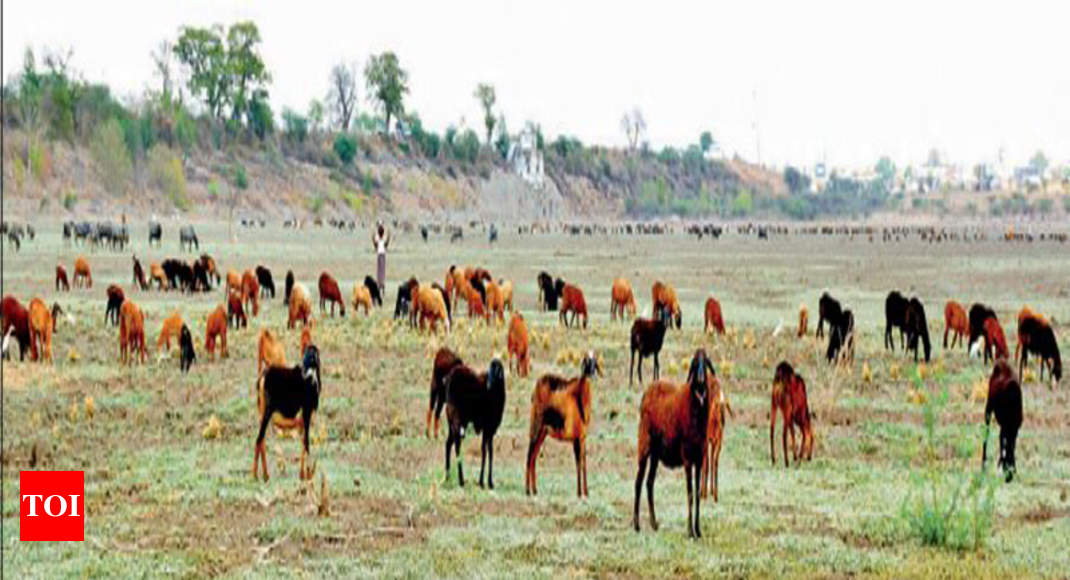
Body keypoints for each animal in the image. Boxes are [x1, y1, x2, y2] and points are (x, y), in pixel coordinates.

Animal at [253, 346, 321, 481]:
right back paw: (255, 476)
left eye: (312, 355)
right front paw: (307, 475)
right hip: (268, 412)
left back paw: (265, 475)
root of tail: (264, 376)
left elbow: (302, 442)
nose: (305, 372)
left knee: (261, 439)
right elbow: (306, 443)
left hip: (261, 414)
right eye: (306, 354)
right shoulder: (306, 414)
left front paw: (302, 474)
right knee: (259, 438)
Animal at [526, 353, 603, 498]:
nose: (592, 374)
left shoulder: (583, 439)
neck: (579, 397)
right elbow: (578, 463)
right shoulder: (576, 440)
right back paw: (527, 490)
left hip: (543, 433)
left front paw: (586, 492)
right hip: (536, 429)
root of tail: (536, 388)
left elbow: (584, 463)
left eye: (594, 362)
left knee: (534, 456)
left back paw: (534, 490)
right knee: (529, 455)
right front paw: (579, 493)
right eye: (586, 361)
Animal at [629, 348, 714, 539]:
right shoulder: (687, 458)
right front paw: (690, 531)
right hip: (644, 445)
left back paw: (654, 524)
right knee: (638, 482)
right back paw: (636, 525)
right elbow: (689, 493)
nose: (700, 380)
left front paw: (698, 530)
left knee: (649, 483)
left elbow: (697, 494)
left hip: (655, 454)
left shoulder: (700, 459)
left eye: (705, 363)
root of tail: (647, 392)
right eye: (694, 362)